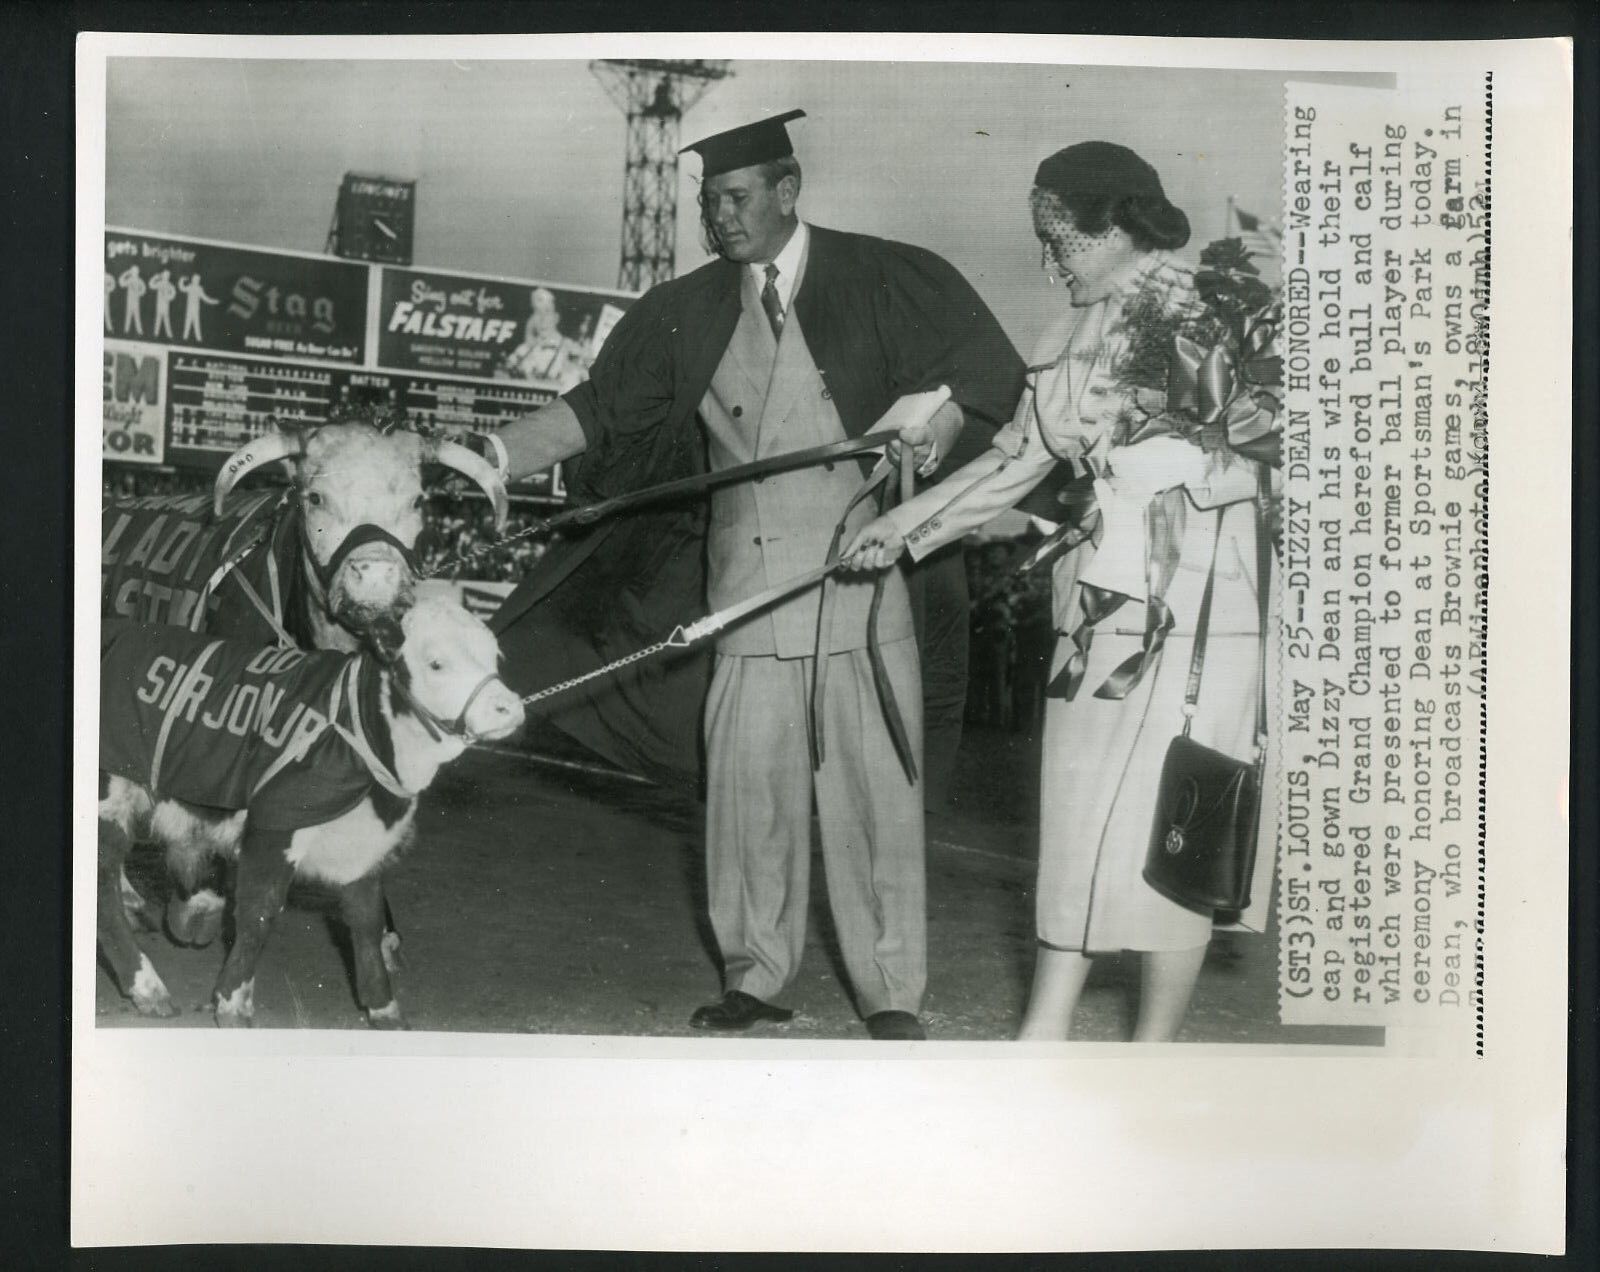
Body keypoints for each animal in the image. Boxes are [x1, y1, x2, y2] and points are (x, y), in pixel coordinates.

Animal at [96, 601, 524, 1030]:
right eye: (436, 663)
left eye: (496, 657)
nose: (510, 708)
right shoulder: (275, 826)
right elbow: (260, 913)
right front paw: (233, 1003)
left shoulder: (363, 842)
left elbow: (367, 920)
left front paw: (383, 1006)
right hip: (107, 790)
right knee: (103, 880)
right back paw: (148, 986)